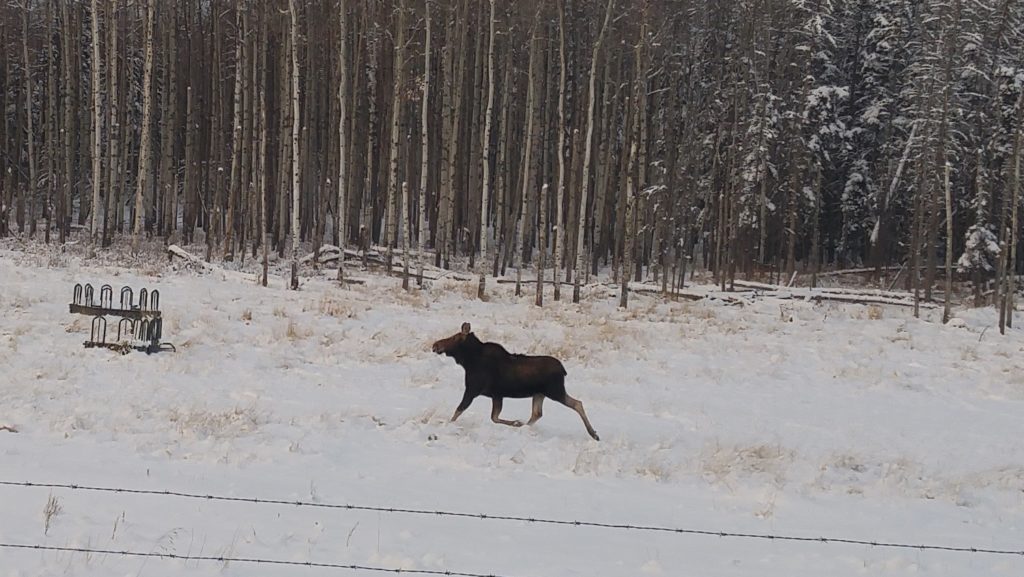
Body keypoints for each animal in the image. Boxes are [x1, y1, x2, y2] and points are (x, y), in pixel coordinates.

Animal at [430, 323, 598, 440]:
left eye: (454, 337)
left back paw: (593, 433)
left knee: (577, 403)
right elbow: (494, 417)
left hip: (555, 391)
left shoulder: (472, 389)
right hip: (539, 394)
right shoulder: (497, 395)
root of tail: (563, 370)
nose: (435, 345)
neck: (469, 361)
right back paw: (524, 427)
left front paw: (447, 425)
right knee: (537, 413)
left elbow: (458, 411)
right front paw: (516, 422)